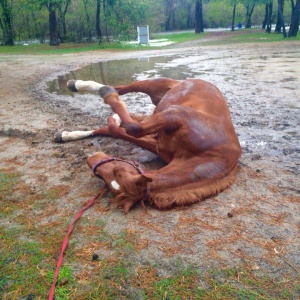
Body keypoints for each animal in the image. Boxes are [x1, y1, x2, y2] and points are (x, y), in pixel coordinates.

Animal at [54, 77, 241, 213]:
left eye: (116, 171)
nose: (91, 158)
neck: (210, 153)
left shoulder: (159, 138)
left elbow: (126, 129)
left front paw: (114, 120)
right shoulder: (172, 114)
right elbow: (132, 128)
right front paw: (113, 111)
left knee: (126, 107)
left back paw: (66, 134)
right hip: (155, 85)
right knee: (122, 88)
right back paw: (83, 86)